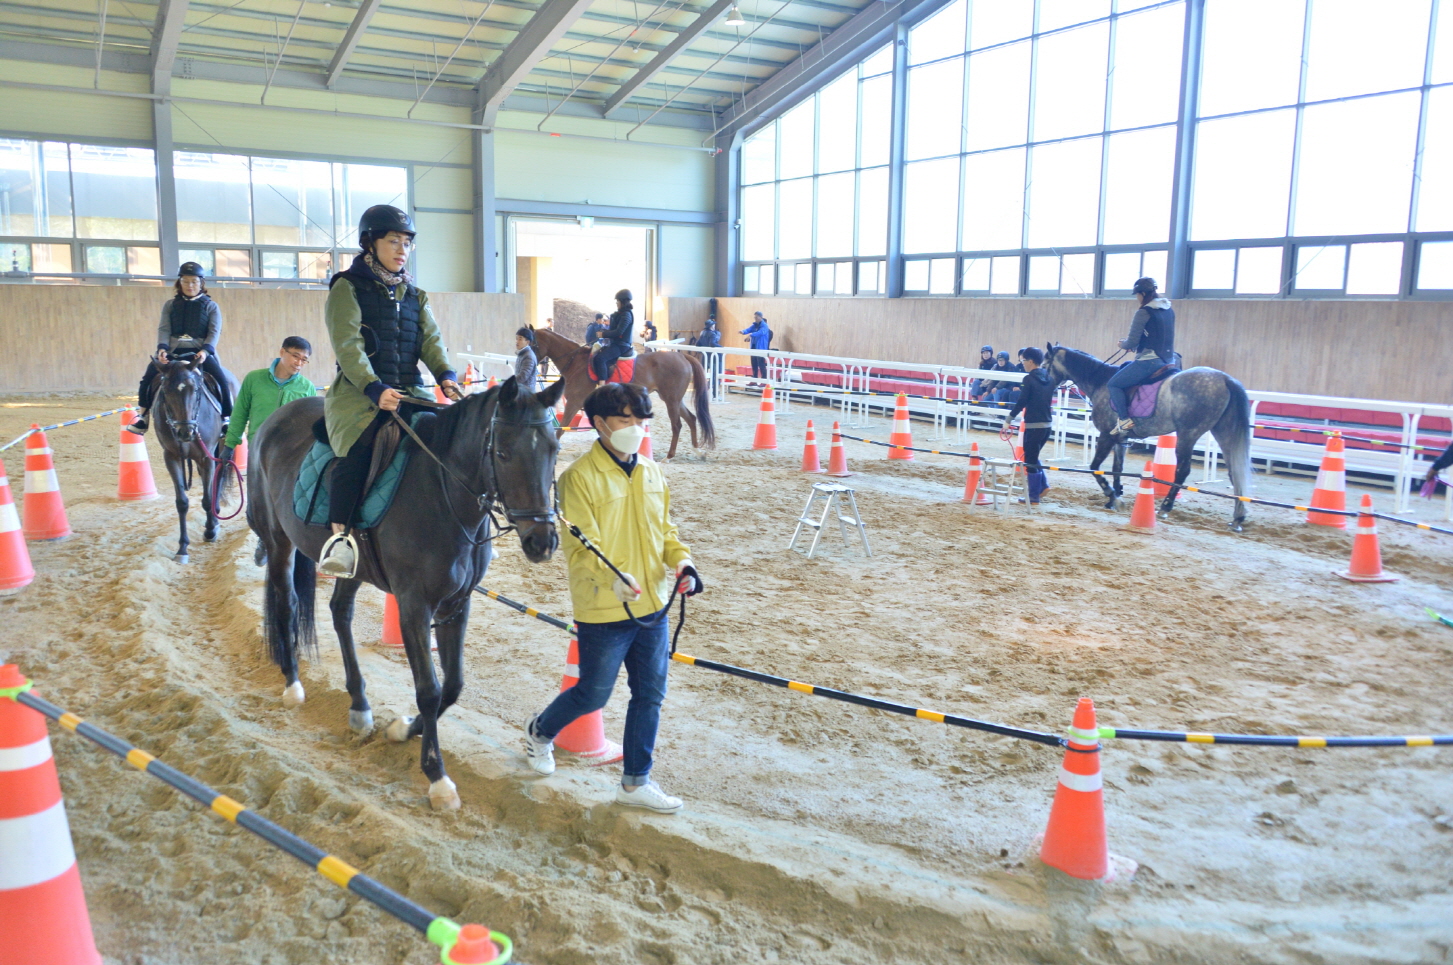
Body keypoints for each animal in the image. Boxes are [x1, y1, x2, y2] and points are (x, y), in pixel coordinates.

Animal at [151, 356, 239, 563]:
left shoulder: (206, 457)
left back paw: (215, 517)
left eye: (196, 389)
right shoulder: (171, 457)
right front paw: (182, 548)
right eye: (165, 391)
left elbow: (207, 499)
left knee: (219, 475)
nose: (185, 432)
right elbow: (182, 503)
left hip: (222, 444)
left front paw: (210, 531)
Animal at [245, 376, 565, 810]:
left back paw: (359, 707)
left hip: (353, 565)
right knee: (287, 605)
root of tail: (274, 419)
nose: (541, 542)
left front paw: (402, 729)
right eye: (502, 452)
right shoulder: (414, 605)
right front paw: (437, 776)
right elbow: (429, 691)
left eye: (554, 448)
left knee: (339, 612)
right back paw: (293, 683)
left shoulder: (456, 605)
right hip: (278, 542)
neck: (445, 497)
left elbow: (453, 685)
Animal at [533, 328, 716, 458]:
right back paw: (698, 451)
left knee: (677, 425)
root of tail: (683, 357)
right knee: (691, 419)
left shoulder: (574, 402)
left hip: (671, 400)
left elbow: (561, 429)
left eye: (533, 344)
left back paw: (669, 457)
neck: (576, 363)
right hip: (675, 399)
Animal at [1044, 343, 1254, 532]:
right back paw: (1238, 518)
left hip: (1188, 434)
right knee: (1234, 472)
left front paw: (1113, 496)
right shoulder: (1121, 439)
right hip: (1223, 432)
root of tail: (1225, 378)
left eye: (1045, 364)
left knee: (1183, 470)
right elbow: (1117, 468)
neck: (1100, 381)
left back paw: (1166, 506)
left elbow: (1095, 467)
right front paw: (1114, 497)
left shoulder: (1106, 436)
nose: (1047, 386)